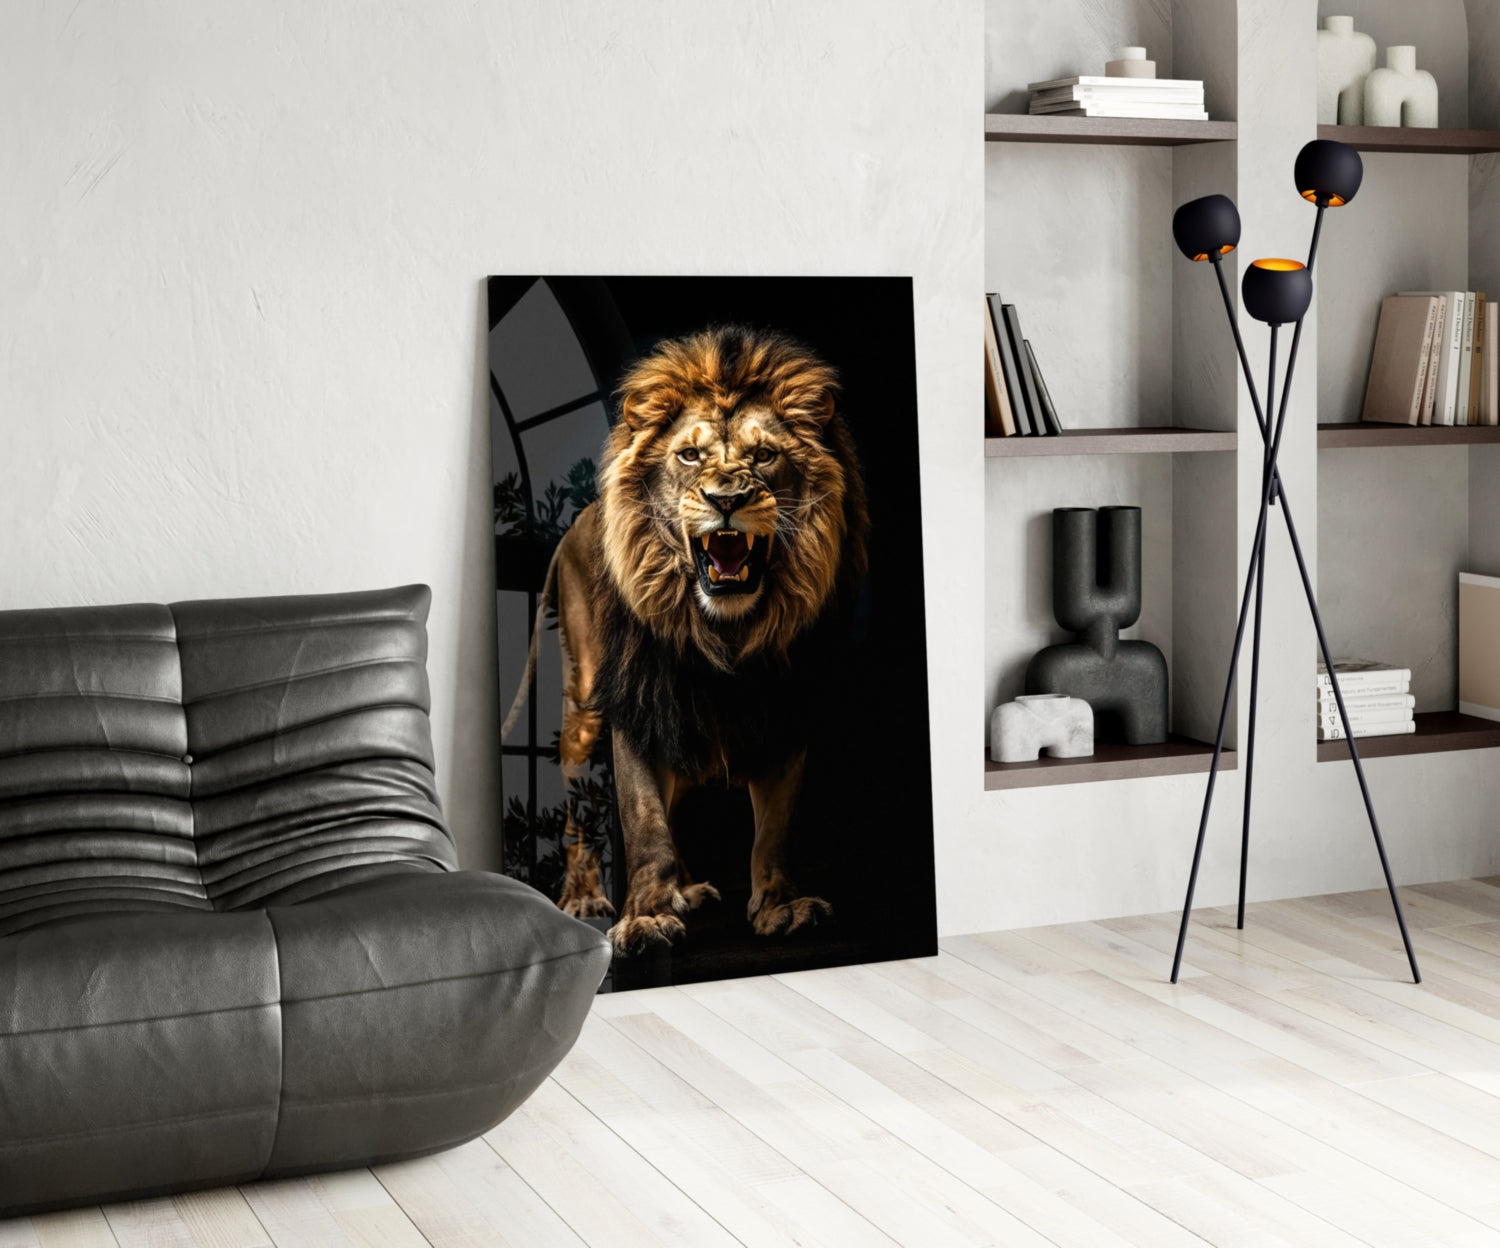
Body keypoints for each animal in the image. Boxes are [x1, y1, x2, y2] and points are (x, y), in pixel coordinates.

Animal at [503, 325, 868, 955]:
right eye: (690, 455)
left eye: (764, 455)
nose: (726, 500)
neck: (726, 632)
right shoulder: (636, 698)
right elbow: (644, 816)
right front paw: (646, 917)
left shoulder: (787, 704)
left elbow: (775, 826)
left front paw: (781, 907)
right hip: (586, 706)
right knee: (581, 800)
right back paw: (586, 897)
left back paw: (689, 889)